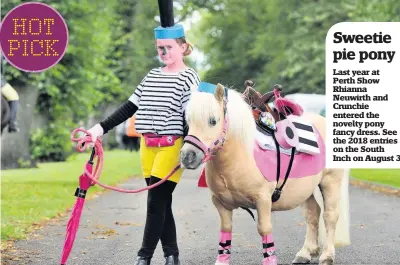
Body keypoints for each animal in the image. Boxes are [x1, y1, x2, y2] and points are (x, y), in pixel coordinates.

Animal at [180, 82, 348, 264]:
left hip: (330, 182)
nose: (188, 156)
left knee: (330, 216)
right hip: (307, 189)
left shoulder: (263, 200)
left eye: (212, 121)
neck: (240, 156)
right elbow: (225, 230)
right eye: (188, 121)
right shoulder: (221, 204)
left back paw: (327, 256)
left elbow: (264, 229)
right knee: (313, 214)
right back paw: (305, 253)